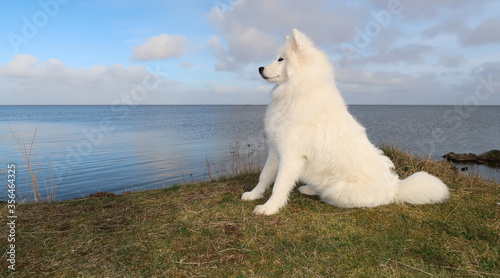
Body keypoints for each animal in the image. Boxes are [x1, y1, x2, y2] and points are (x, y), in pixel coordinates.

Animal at [241, 28, 450, 215]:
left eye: (281, 59)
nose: (259, 68)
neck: (298, 92)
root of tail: (394, 189)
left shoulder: (291, 155)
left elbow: (279, 184)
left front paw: (269, 208)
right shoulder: (276, 149)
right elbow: (265, 176)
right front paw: (254, 195)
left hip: (339, 190)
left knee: (329, 196)